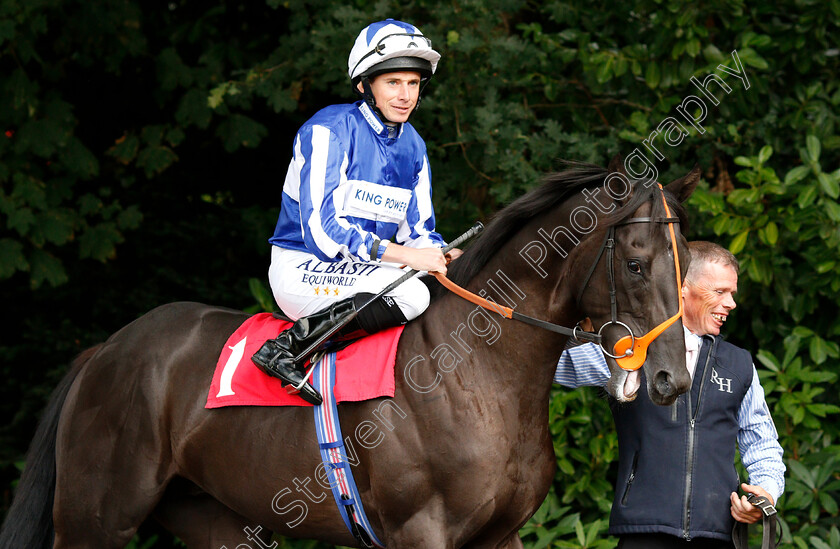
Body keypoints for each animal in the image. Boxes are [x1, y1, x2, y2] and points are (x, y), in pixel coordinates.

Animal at [1, 156, 696, 544]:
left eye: (685, 262)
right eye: (636, 263)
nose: (672, 378)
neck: (477, 375)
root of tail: (106, 350)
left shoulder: (498, 538)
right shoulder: (421, 531)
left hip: (209, 517)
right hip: (95, 517)